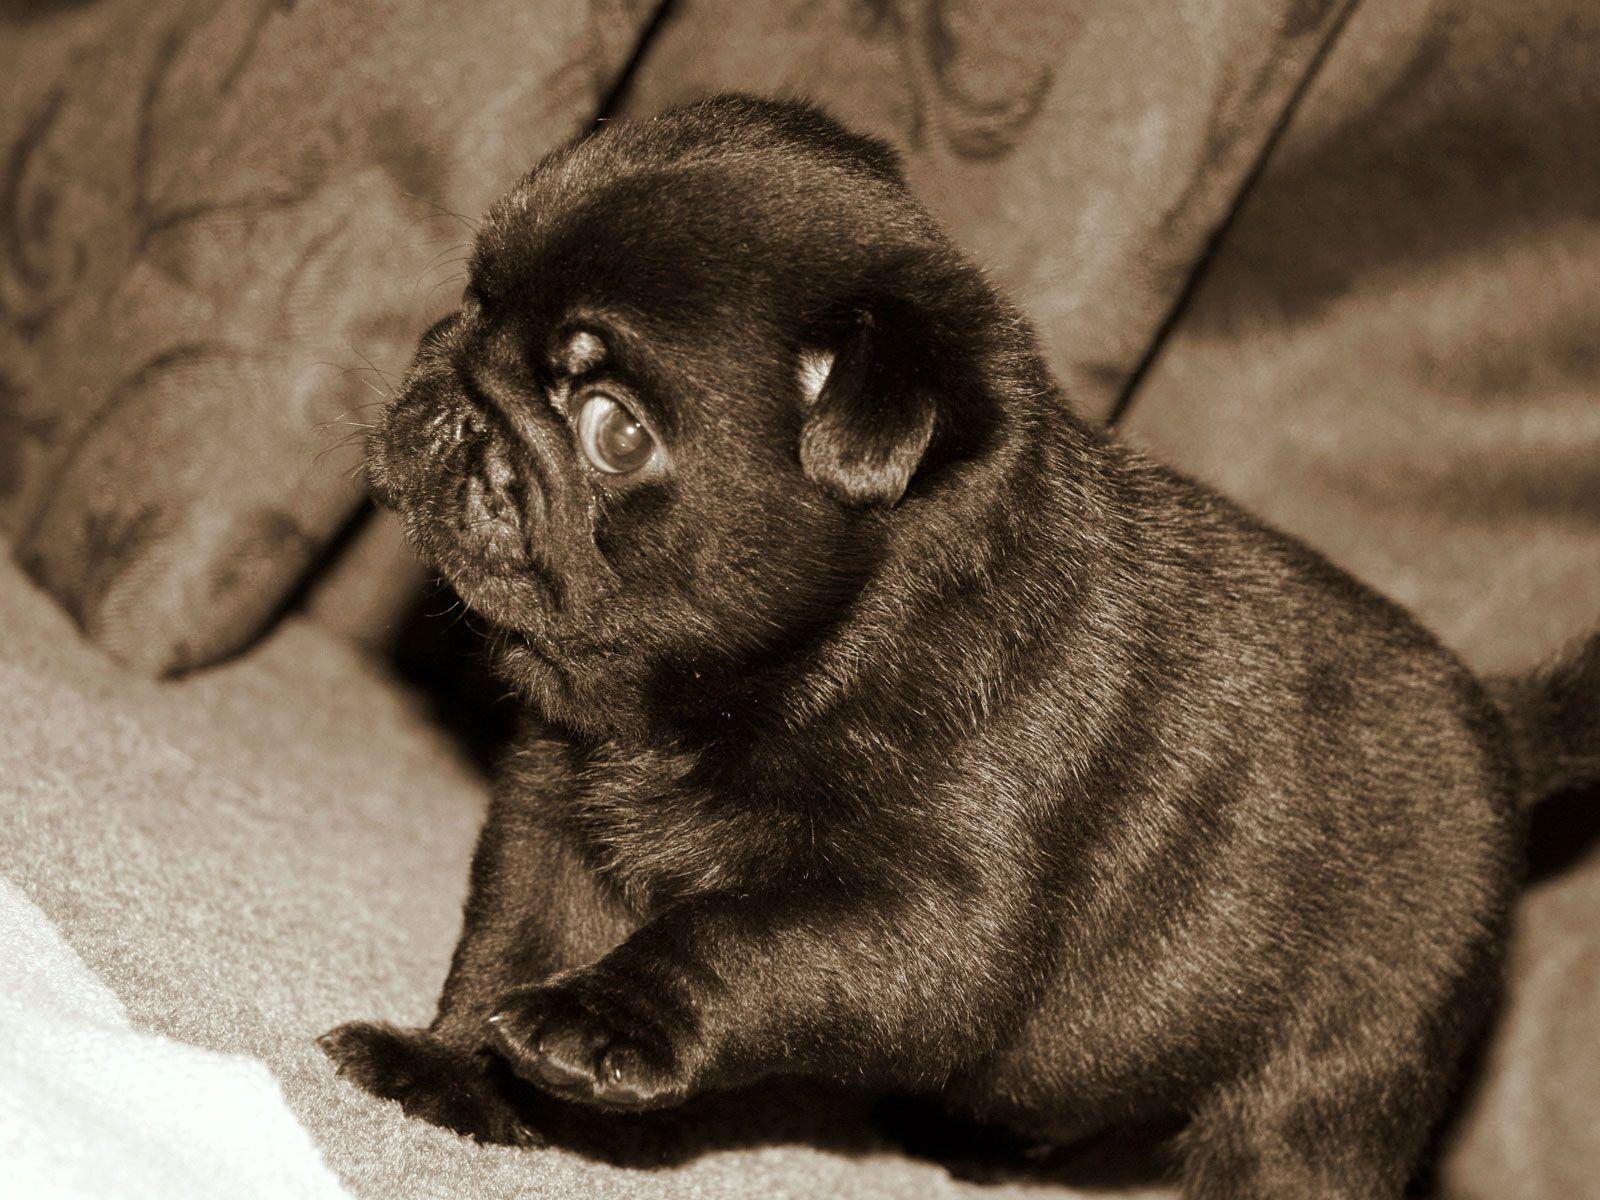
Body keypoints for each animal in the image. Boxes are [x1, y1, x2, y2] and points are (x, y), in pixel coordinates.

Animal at [318, 96, 1593, 1200]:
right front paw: (454, 1070)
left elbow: (730, 934)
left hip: (1324, 1082)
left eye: (612, 433)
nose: (455, 397)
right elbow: (513, 935)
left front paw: (600, 1020)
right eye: (474, 297)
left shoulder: (923, 916)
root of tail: (1499, 725)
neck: (792, 664)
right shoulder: (556, 807)